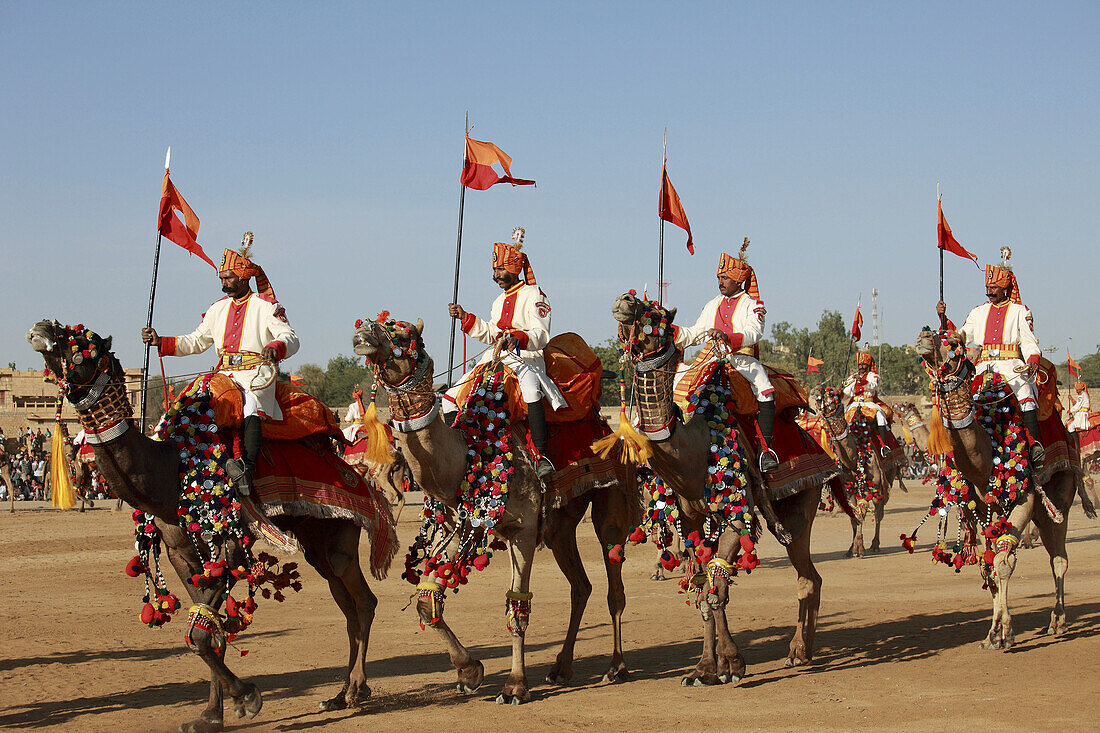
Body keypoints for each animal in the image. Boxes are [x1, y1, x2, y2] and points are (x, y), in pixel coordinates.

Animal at [26, 321, 400, 730]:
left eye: (82, 341)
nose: (41, 328)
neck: (170, 472)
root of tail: (358, 475)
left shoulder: (229, 547)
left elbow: (201, 635)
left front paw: (248, 697)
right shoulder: (181, 554)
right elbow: (210, 630)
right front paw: (211, 715)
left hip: (339, 535)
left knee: (363, 601)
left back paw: (356, 689)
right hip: (317, 541)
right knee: (347, 606)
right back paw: (339, 695)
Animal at [356, 316, 642, 699]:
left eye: (404, 335)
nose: (362, 332)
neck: (468, 455)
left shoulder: (522, 528)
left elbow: (517, 604)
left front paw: (515, 685)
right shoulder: (461, 526)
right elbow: (427, 600)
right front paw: (469, 671)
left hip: (608, 499)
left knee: (614, 584)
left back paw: (616, 667)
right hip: (560, 524)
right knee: (581, 586)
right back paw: (561, 668)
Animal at [611, 290, 831, 677]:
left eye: (656, 315)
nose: (625, 300)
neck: (691, 450)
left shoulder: (738, 514)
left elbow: (717, 590)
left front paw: (730, 662)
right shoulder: (692, 520)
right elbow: (704, 588)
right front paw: (707, 668)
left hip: (802, 502)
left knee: (807, 575)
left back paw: (798, 651)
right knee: (808, 577)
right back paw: (800, 652)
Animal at [809, 383, 902, 554]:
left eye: (831, 393)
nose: (814, 391)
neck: (853, 459)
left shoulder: (875, 485)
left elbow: (865, 512)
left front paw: (860, 548)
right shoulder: (849, 488)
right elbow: (855, 515)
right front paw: (853, 547)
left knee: (879, 512)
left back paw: (875, 545)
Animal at [910, 327, 1091, 647]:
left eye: (953, 342)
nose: (924, 336)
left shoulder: (1025, 497)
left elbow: (1004, 561)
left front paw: (1006, 632)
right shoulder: (977, 506)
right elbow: (988, 564)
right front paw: (992, 634)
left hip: (1060, 495)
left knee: (1059, 558)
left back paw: (1057, 622)